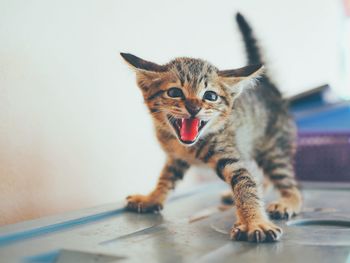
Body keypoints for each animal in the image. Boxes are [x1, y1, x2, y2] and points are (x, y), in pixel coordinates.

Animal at [119, 12, 300, 243]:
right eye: (174, 92)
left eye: (210, 96)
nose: (194, 108)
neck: (187, 146)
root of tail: (266, 85)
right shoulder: (176, 158)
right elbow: (166, 178)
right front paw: (152, 197)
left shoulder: (230, 157)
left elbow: (246, 184)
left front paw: (255, 222)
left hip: (273, 147)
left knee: (288, 181)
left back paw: (288, 202)